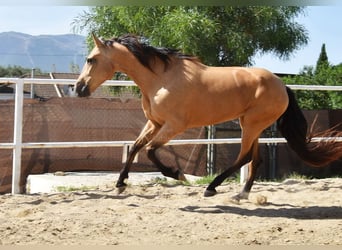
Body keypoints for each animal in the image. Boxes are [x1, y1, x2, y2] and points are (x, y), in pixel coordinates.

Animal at [75, 34, 342, 203]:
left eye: (91, 59)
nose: (78, 89)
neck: (162, 79)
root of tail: (282, 85)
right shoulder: (155, 123)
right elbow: (135, 147)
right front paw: (120, 184)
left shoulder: (174, 126)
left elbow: (150, 151)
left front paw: (178, 175)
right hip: (252, 126)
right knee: (255, 160)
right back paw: (241, 194)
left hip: (252, 124)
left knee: (244, 157)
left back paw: (212, 188)